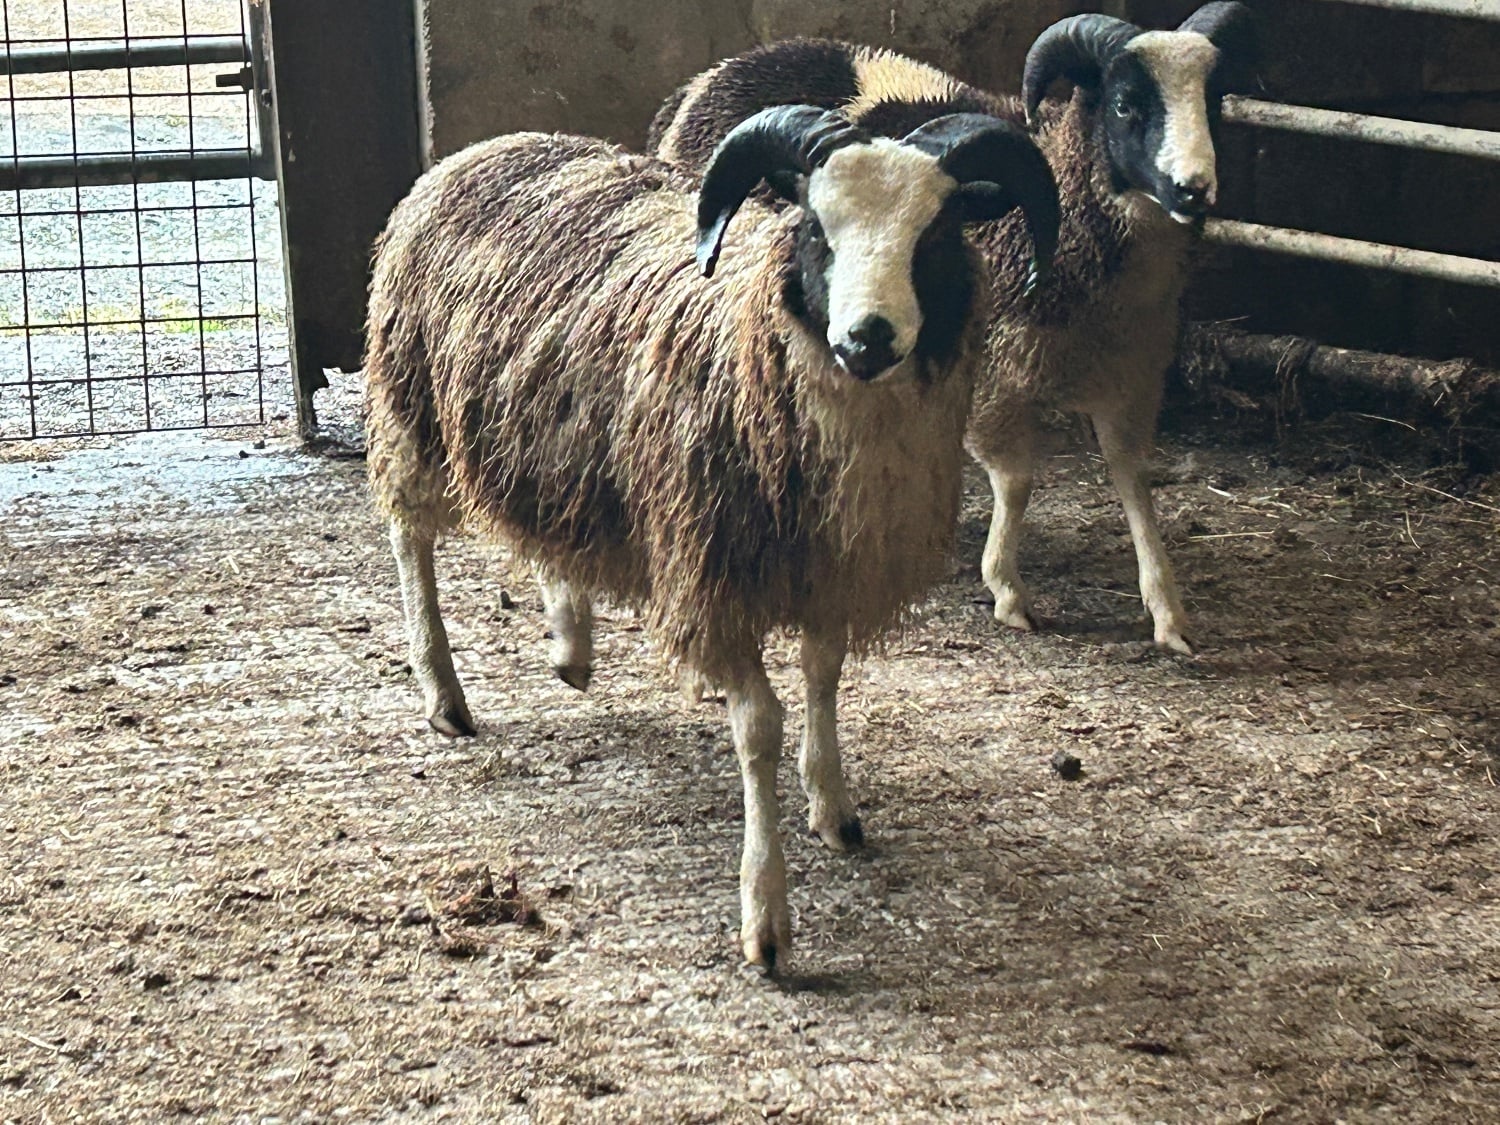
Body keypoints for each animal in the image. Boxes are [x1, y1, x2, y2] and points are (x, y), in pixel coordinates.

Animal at [364, 106, 1060, 971]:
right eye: (815, 229)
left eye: (934, 234)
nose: (868, 337)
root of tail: (485, 148)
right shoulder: (715, 572)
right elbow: (759, 726)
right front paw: (766, 916)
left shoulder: (827, 566)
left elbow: (825, 678)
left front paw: (834, 807)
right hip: (413, 409)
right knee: (409, 539)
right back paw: (444, 693)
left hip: (559, 438)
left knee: (555, 529)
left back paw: (571, 643)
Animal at [649, 2, 1257, 655]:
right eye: (1125, 104)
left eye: (1213, 102)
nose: (1193, 190)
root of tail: (708, 78)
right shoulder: (997, 376)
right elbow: (1016, 480)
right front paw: (1008, 591)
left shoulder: (1133, 377)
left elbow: (1134, 481)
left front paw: (1168, 612)